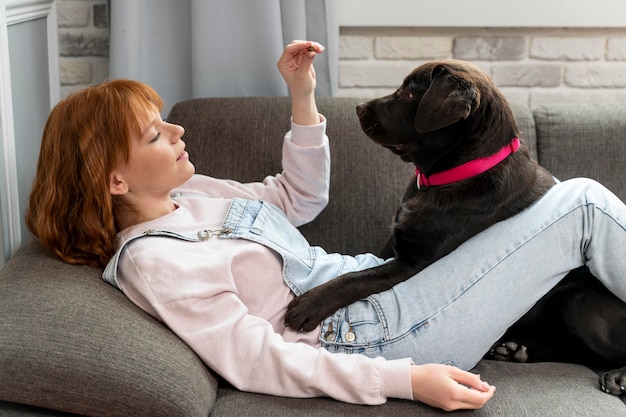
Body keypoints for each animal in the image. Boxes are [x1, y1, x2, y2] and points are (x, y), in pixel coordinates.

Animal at [284, 57, 624, 394]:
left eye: (408, 93)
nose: (358, 107)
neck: (456, 174)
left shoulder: (413, 263)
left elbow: (356, 278)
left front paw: (310, 304)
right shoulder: (393, 245)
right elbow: (362, 267)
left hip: (577, 302)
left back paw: (617, 377)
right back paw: (516, 350)